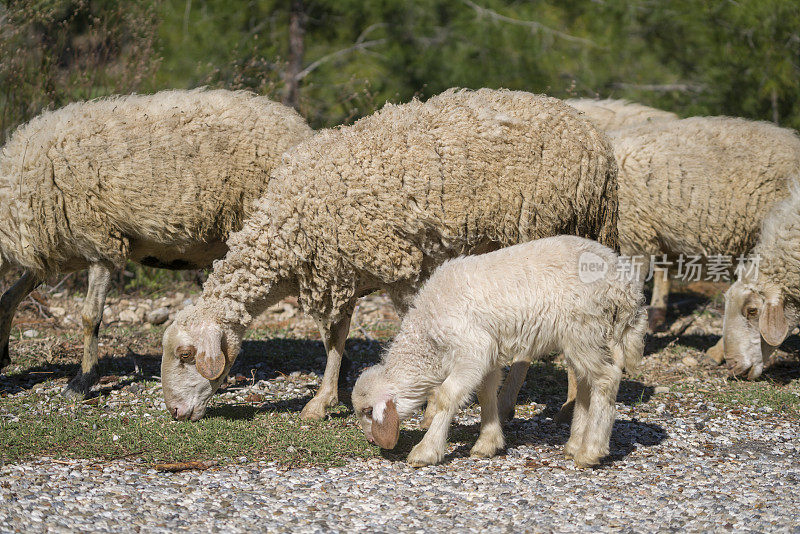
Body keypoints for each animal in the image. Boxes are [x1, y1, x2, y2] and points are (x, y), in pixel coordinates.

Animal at [0, 88, 312, 398]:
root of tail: (299, 126)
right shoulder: (59, 253)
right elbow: (9, 297)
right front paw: (3, 355)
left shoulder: (103, 243)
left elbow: (90, 317)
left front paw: (82, 381)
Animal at [161, 87, 620, 422]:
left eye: (186, 356)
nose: (176, 412)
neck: (288, 226)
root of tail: (598, 145)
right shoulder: (340, 267)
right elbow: (335, 338)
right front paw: (321, 402)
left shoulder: (398, 266)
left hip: (545, 228)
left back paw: (530, 404)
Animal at [354, 238, 648, 468]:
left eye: (368, 411)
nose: (371, 440)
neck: (427, 334)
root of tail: (625, 285)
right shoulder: (488, 355)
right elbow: (486, 393)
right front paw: (488, 443)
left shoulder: (473, 347)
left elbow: (448, 396)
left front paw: (426, 450)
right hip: (583, 336)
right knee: (587, 383)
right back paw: (575, 444)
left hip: (584, 329)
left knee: (606, 379)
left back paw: (590, 451)